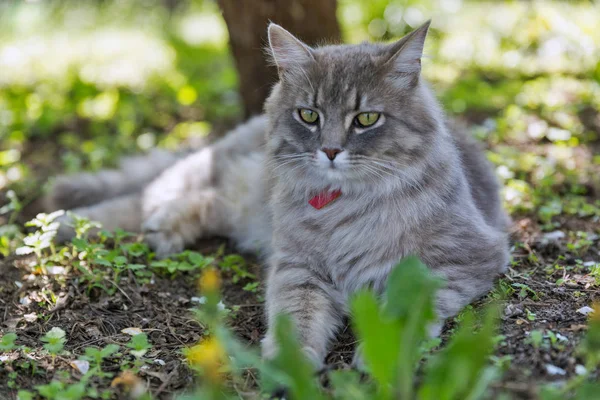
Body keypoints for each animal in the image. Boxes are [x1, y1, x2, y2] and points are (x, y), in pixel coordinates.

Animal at [44, 21, 508, 366]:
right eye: (309, 115)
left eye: (366, 119)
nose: (331, 150)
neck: (344, 209)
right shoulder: (298, 265)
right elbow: (295, 314)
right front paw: (292, 361)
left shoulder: (460, 260)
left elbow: (407, 306)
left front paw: (384, 353)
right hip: (234, 178)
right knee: (147, 196)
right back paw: (67, 225)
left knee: (201, 202)